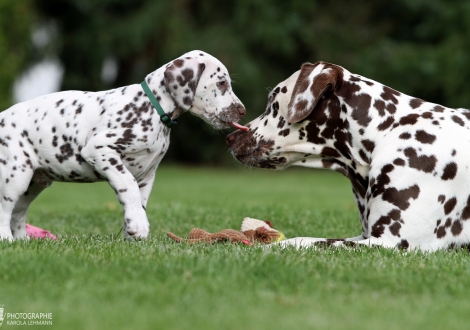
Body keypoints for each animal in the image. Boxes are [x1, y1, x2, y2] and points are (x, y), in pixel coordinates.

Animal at [0, 49, 248, 240]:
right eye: (221, 83)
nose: (242, 111)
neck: (152, 107)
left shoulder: (147, 175)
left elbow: (139, 201)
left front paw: (132, 234)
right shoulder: (100, 151)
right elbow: (128, 187)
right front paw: (138, 225)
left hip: (33, 184)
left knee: (18, 214)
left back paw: (23, 240)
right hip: (16, 176)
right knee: (4, 210)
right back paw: (7, 240)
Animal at [226, 61, 468, 250]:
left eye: (272, 103)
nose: (230, 138)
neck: (387, 132)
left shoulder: (389, 242)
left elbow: (300, 240)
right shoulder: (365, 237)